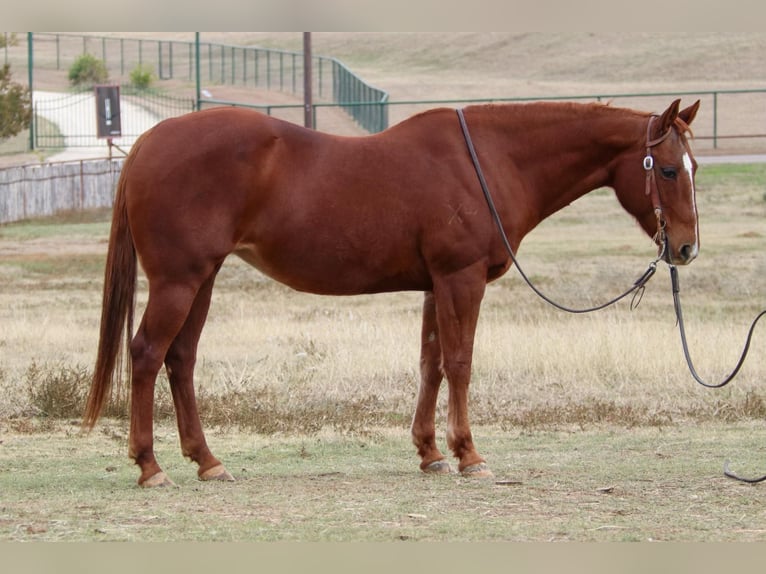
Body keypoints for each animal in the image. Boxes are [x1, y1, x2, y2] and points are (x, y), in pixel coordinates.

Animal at [82, 99, 704, 486]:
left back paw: (207, 461)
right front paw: (468, 454)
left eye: (693, 165)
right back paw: (150, 465)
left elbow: (432, 364)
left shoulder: (436, 285)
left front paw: (430, 453)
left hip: (202, 279)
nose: (686, 248)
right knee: (146, 355)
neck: (485, 161)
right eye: (669, 170)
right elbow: (460, 362)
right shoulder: (461, 279)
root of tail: (147, 144)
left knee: (181, 359)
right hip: (179, 280)